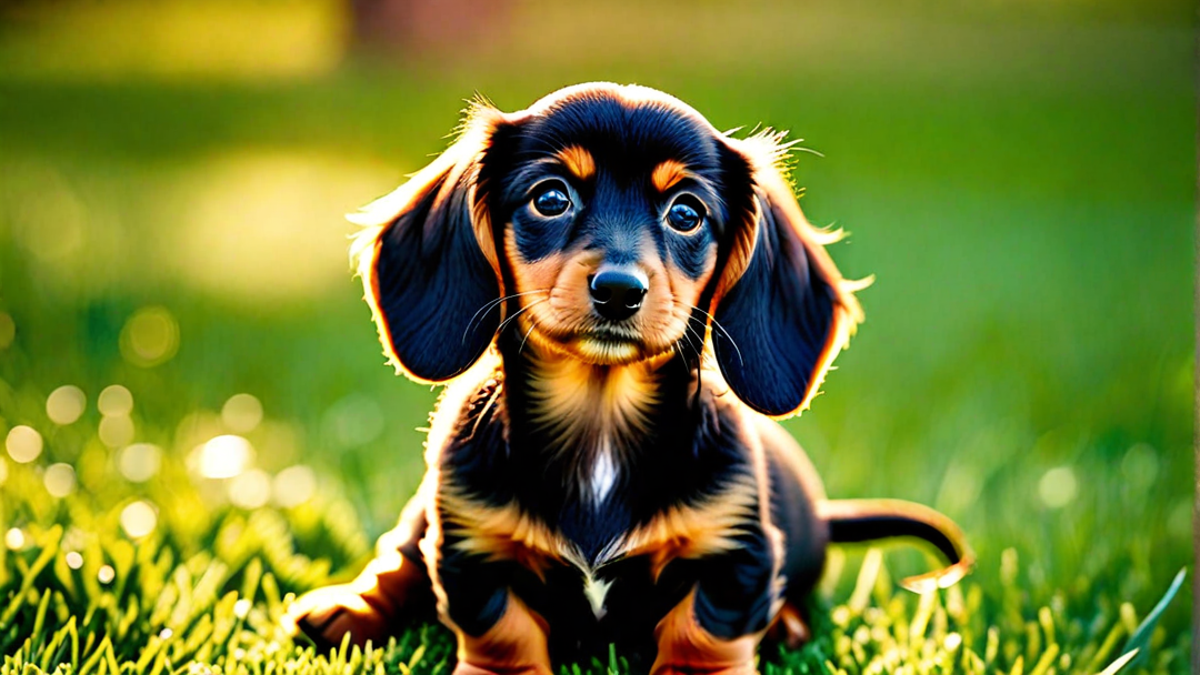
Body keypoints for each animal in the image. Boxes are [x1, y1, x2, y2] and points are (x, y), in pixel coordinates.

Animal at [285, 82, 969, 672]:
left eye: (686, 213)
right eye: (551, 198)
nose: (619, 290)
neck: (600, 425)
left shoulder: (734, 557)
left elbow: (701, 633)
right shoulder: (471, 549)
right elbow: (501, 630)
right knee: (399, 557)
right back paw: (347, 610)